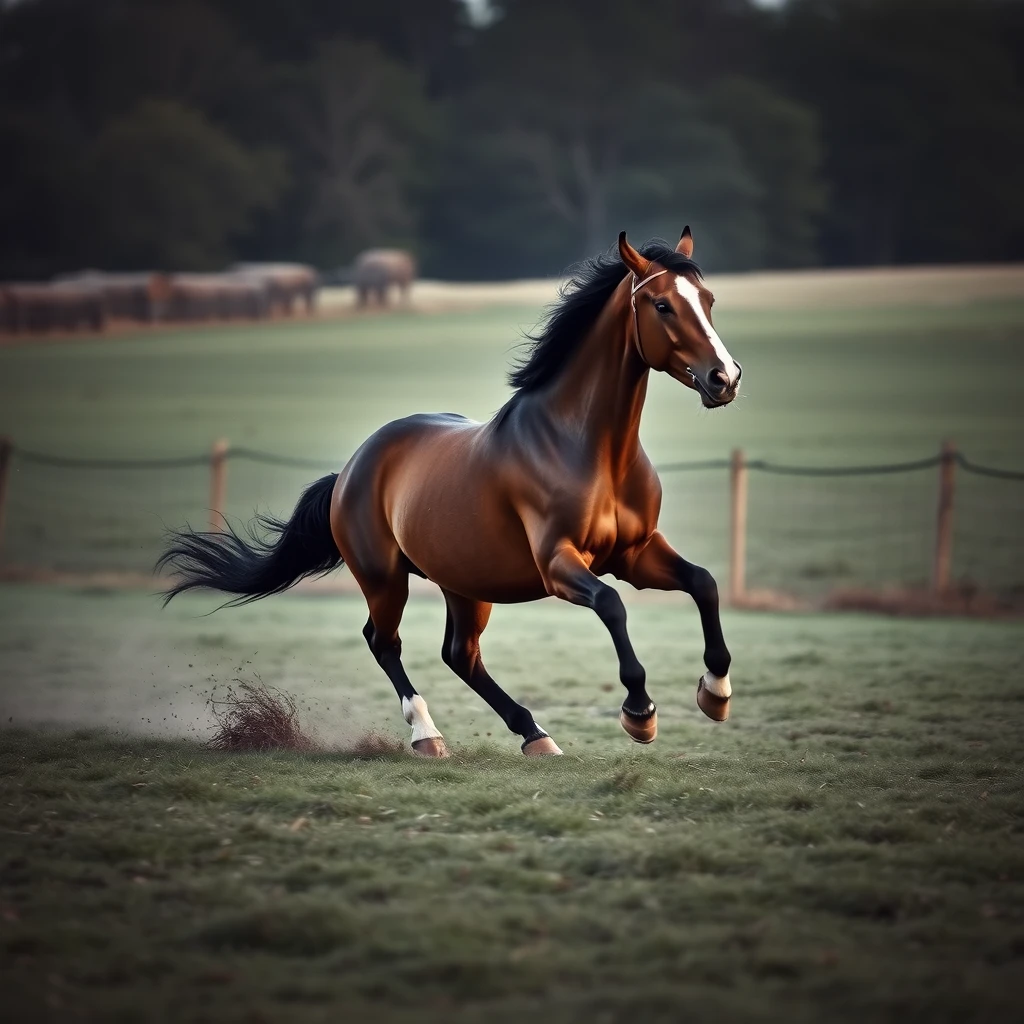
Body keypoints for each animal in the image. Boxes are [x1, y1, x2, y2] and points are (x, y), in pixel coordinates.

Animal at [163, 234, 749, 761]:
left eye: (708, 300)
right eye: (661, 304)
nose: (725, 378)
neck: (589, 448)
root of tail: (352, 466)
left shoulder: (635, 553)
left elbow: (704, 582)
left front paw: (715, 694)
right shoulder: (559, 565)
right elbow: (612, 605)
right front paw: (639, 713)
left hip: (465, 584)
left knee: (460, 654)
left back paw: (535, 735)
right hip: (384, 578)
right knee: (384, 641)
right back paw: (428, 736)